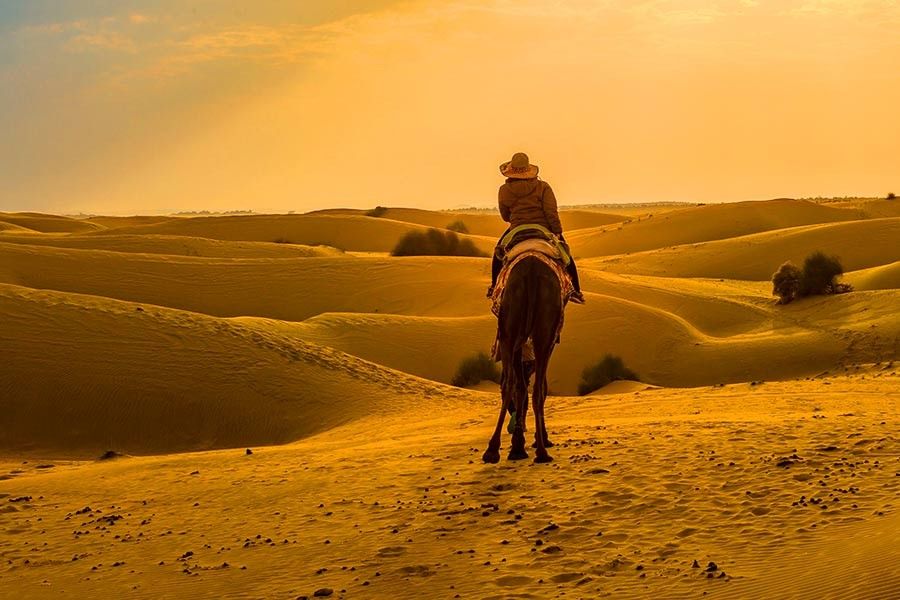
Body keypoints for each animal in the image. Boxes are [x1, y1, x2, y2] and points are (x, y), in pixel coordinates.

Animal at [482, 254, 560, 464]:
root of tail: (531, 271)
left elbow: (522, 386)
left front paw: (519, 444)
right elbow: (536, 387)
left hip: (511, 328)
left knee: (511, 382)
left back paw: (495, 450)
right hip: (537, 331)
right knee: (532, 386)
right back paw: (539, 450)